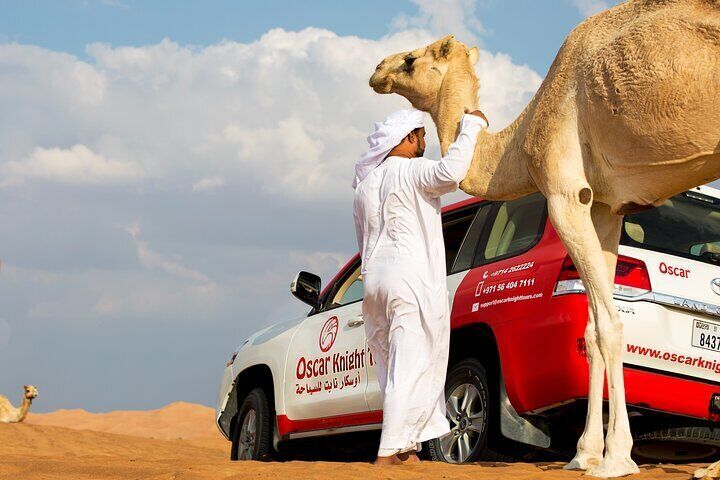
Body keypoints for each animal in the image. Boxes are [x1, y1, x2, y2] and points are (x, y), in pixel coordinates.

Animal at [368, 1, 720, 477]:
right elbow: (590, 329)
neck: (520, 139)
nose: (376, 69)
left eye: (410, 59)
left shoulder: (564, 193)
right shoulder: (606, 207)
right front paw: (584, 454)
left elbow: (608, 325)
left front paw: (616, 458)